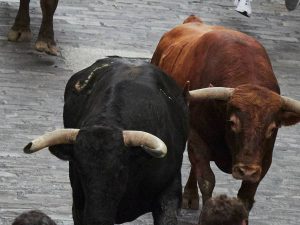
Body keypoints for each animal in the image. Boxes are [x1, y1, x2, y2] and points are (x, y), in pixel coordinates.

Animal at [151, 15, 300, 213]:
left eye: (272, 128)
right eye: (233, 122)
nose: (247, 170)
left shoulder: (265, 159)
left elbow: (246, 195)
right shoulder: (197, 139)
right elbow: (207, 180)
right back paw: (189, 197)